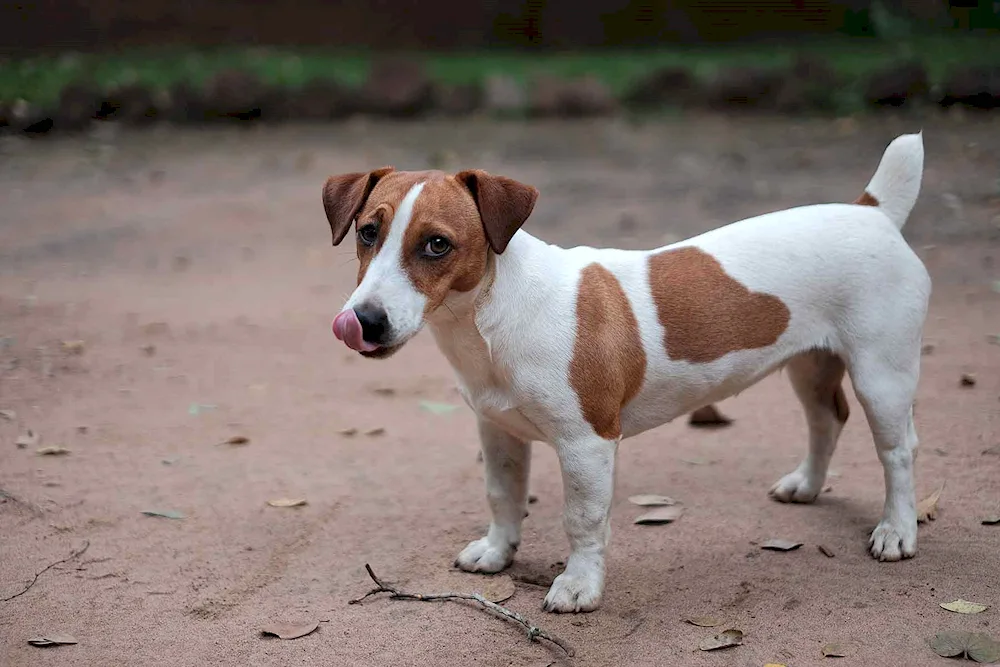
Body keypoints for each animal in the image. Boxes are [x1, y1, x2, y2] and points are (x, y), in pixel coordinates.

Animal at [326, 132, 928, 616]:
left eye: (437, 244)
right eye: (367, 232)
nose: (364, 321)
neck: (490, 316)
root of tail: (872, 211)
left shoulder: (587, 443)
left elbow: (583, 520)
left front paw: (579, 587)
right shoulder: (496, 430)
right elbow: (503, 495)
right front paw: (498, 552)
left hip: (882, 376)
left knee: (898, 451)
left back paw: (897, 531)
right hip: (808, 366)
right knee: (826, 419)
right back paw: (806, 485)